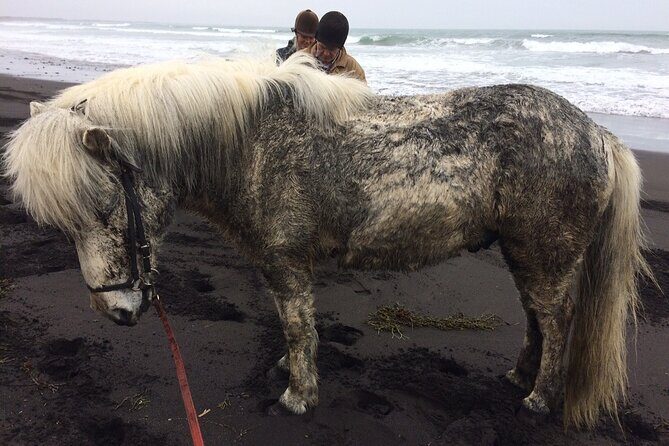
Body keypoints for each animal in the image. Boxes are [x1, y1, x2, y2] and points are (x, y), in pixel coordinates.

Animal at [3, 53, 649, 428]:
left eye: (104, 207)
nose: (115, 311)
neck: (249, 142)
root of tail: (597, 134)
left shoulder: (286, 260)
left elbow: (296, 324)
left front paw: (298, 395)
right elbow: (293, 324)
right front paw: (290, 373)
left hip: (547, 254)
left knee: (557, 320)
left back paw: (539, 399)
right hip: (525, 254)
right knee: (537, 318)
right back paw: (520, 377)